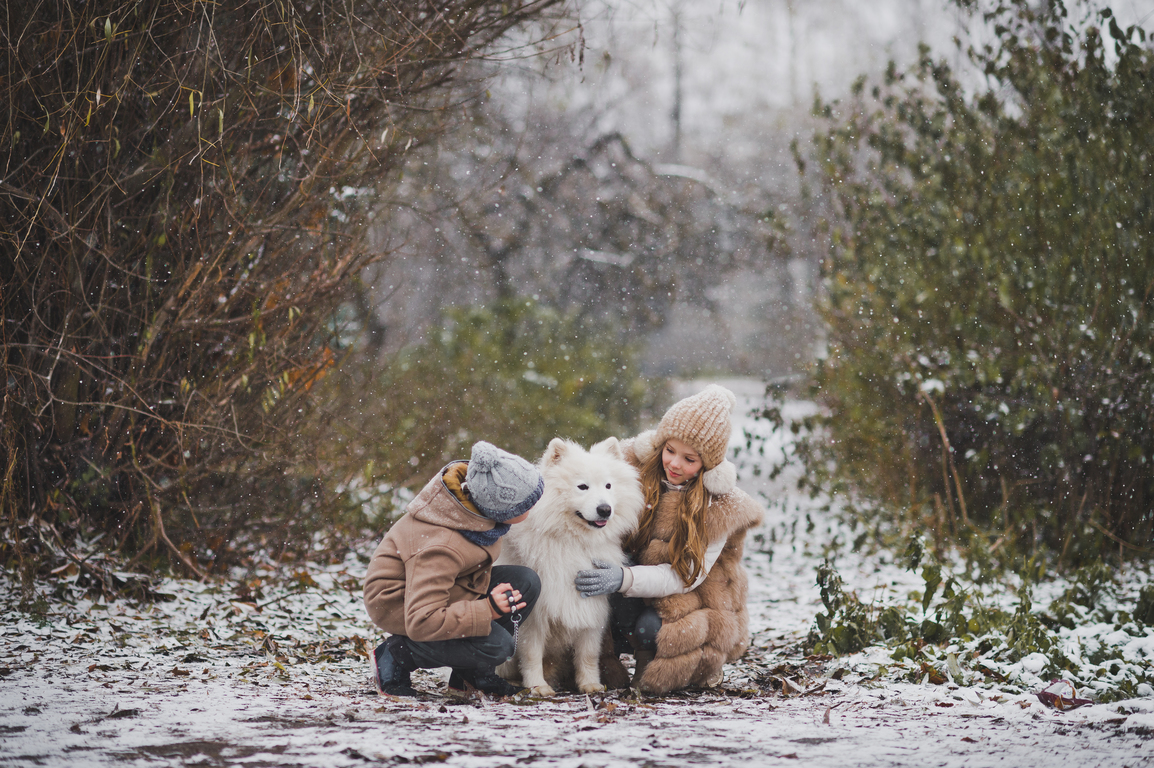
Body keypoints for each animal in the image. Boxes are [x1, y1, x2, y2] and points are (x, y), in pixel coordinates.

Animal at [493, 435, 646, 691]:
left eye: (608, 486)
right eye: (582, 487)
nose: (605, 509)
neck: (574, 541)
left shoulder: (590, 607)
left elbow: (588, 653)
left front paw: (591, 684)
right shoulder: (534, 613)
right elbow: (531, 653)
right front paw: (537, 686)